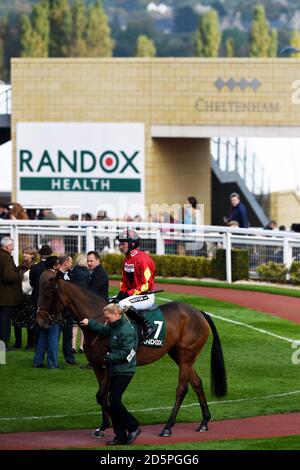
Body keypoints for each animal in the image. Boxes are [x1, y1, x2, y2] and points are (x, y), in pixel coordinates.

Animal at [36, 276, 226, 436]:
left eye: (47, 294)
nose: (39, 320)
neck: (101, 320)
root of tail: (199, 312)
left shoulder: (109, 363)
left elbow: (102, 396)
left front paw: (125, 426)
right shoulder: (97, 365)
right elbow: (103, 396)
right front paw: (103, 427)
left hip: (186, 355)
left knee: (182, 388)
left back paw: (167, 426)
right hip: (179, 355)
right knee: (197, 383)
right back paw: (204, 421)